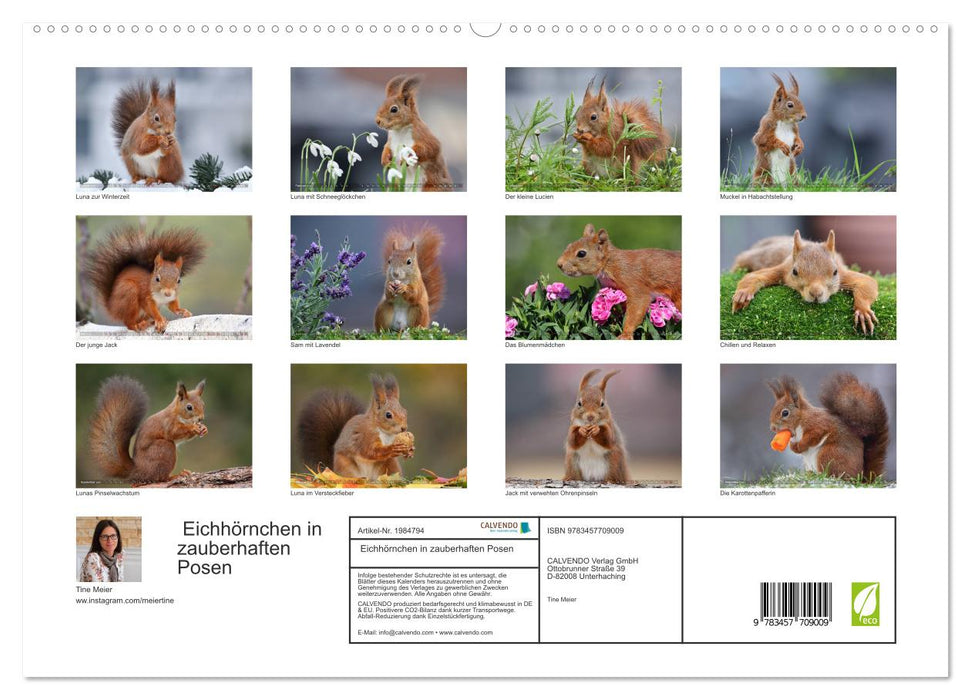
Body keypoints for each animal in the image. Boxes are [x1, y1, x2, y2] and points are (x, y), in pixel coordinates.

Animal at [730, 229, 879, 334]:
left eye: (835, 272)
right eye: (795, 271)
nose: (816, 294)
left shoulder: (844, 274)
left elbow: (866, 282)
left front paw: (863, 311)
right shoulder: (784, 269)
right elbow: (754, 276)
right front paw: (743, 294)